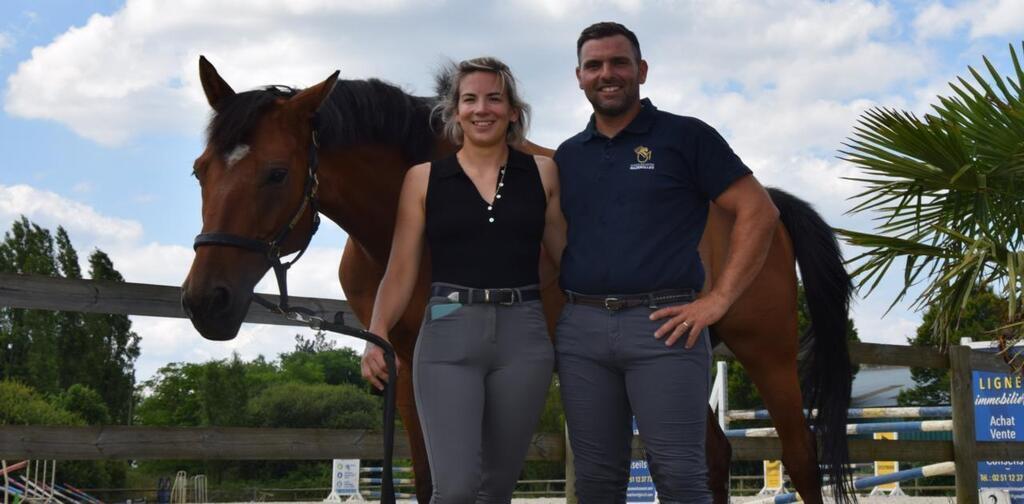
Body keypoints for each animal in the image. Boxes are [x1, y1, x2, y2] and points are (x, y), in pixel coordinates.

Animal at [184, 57, 856, 501]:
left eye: (276, 173)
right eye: (199, 170)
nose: (205, 301)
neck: (400, 226)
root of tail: (765, 203)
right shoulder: (407, 362)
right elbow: (429, 477)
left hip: (768, 352)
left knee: (799, 458)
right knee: (711, 456)